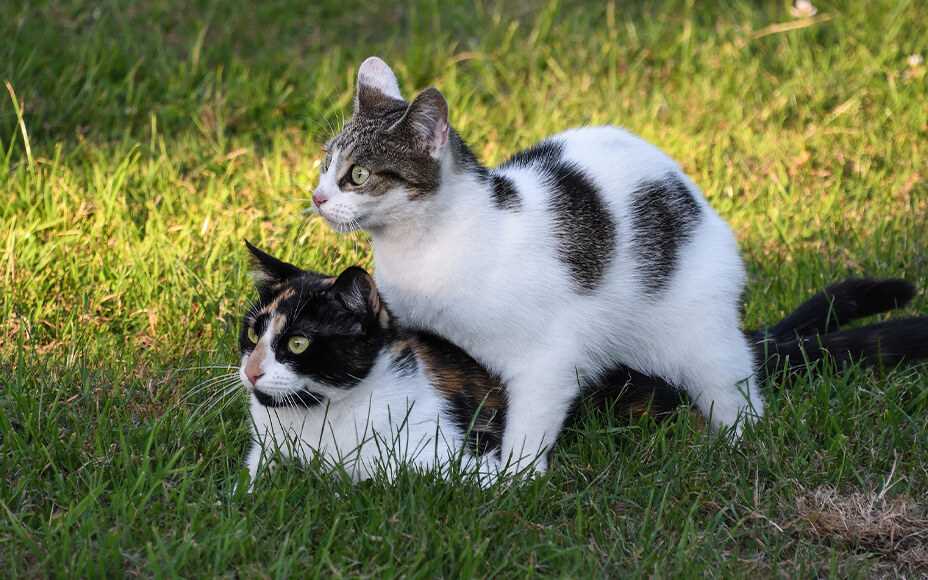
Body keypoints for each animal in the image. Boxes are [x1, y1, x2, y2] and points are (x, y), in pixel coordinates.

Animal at [241, 242, 928, 488]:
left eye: (297, 344)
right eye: (252, 330)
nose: (248, 372)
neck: (319, 428)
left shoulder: (456, 458)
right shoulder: (260, 458)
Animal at [312, 54, 928, 474]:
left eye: (358, 175)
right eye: (325, 165)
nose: (316, 197)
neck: (426, 245)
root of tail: (691, 193)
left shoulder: (545, 359)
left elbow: (531, 422)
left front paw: (513, 480)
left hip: (699, 336)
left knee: (737, 389)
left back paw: (736, 445)